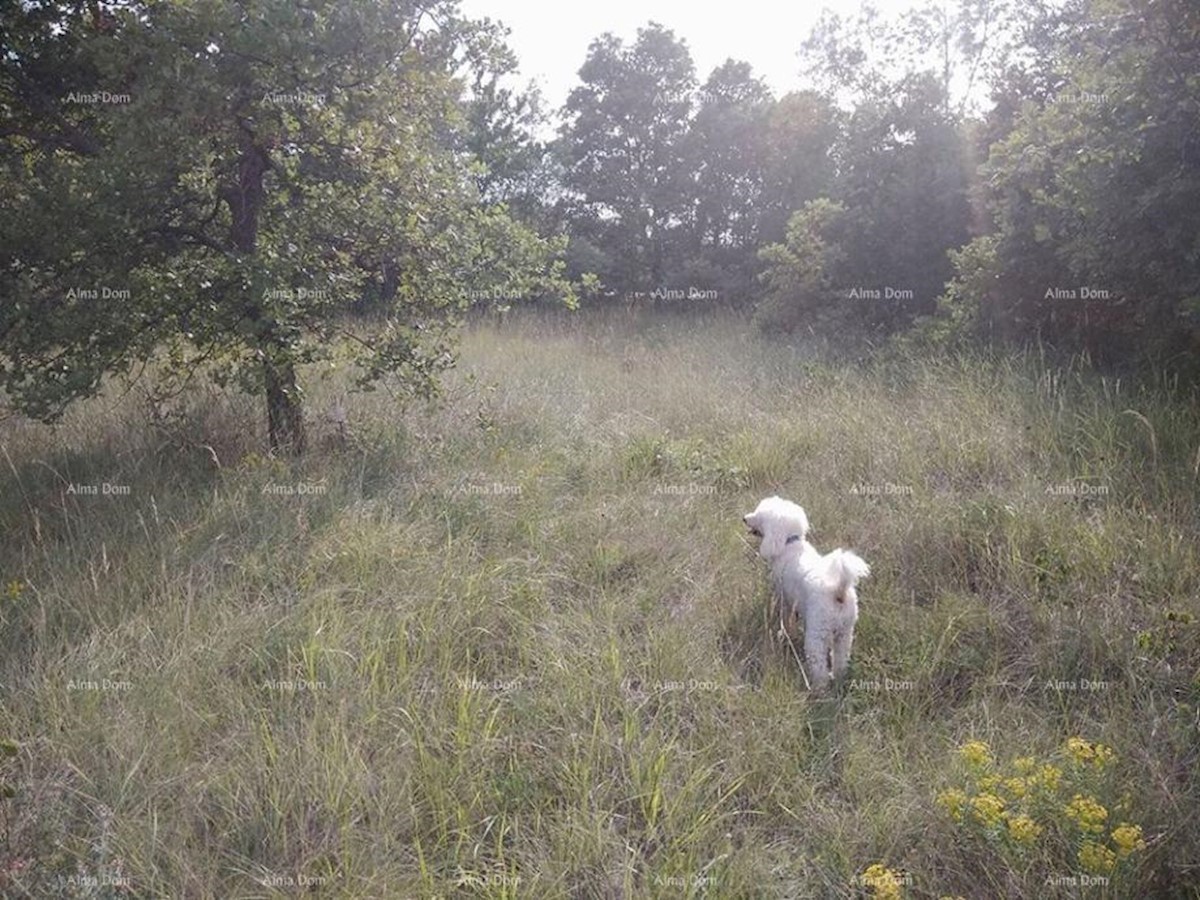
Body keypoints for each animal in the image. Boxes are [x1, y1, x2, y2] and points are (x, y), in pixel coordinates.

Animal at [744, 496, 868, 696]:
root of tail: (838, 591)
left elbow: (785, 614)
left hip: (817, 634)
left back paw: (819, 689)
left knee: (819, 665)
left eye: (759, 517)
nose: (744, 518)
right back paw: (838, 678)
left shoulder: (784, 597)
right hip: (844, 633)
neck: (790, 542)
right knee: (841, 659)